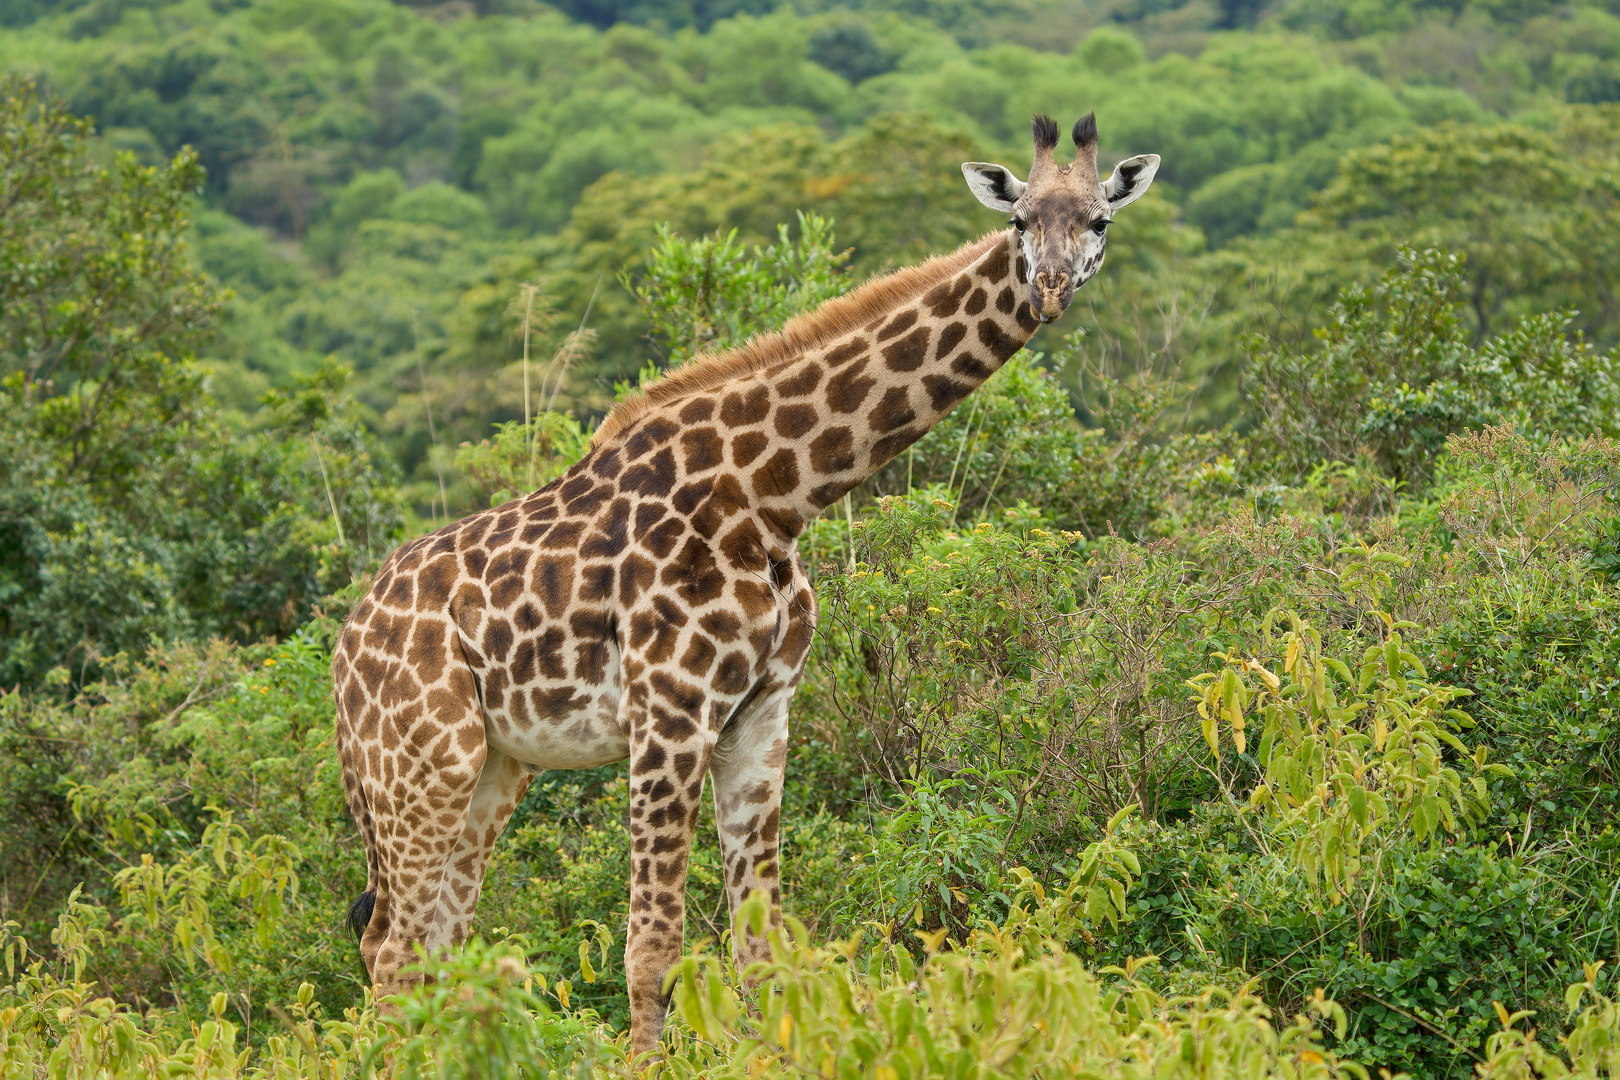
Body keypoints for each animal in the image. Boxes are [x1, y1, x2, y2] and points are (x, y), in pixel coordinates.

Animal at [335, 114, 1159, 1062]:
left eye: (1099, 220)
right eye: (1020, 220)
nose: (1052, 290)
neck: (775, 499)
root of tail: (343, 650)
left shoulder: (762, 715)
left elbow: (761, 948)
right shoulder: (670, 710)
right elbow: (653, 947)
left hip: (493, 768)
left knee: (434, 938)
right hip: (419, 761)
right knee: (393, 946)